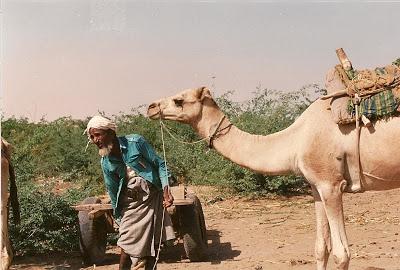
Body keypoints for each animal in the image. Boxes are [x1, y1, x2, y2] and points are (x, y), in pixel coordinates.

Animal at [148, 87, 400, 270]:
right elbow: (321, 248)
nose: (151, 107)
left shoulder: (331, 185)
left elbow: (341, 253)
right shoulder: (317, 187)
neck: (295, 140)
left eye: (179, 100)